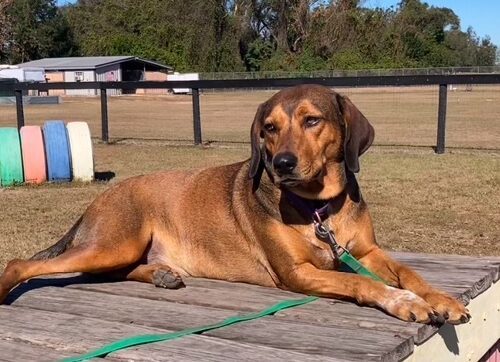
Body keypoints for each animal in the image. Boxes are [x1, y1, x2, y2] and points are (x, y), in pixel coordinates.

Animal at [0, 84, 468, 322]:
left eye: (312, 120)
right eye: (269, 127)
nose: (281, 164)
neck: (319, 208)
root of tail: (97, 199)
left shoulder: (366, 252)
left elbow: (408, 272)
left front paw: (440, 298)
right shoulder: (297, 273)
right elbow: (362, 283)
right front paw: (404, 301)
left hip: (123, 249)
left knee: (110, 272)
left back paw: (162, 275)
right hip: (114, 242)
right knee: (21, 263)